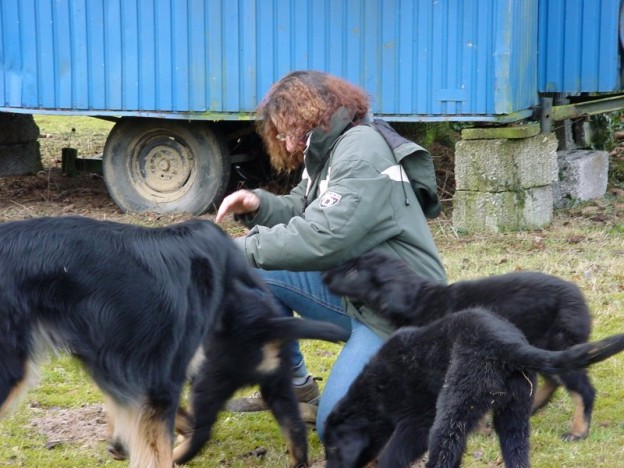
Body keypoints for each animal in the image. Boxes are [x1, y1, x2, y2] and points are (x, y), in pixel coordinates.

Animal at [322, 308, 624, 468]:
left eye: (334, 448)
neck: (372, 396)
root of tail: (506, 345)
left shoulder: (416, 422)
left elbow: (393, 455)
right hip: (514, 413)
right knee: (516, 453)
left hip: (453, 410)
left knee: (444, 453)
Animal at [324, 250, 596, 440]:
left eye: (353, 272)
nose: (324, 276)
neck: (419, 300)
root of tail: (579, 299)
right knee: (552, 380)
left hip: (558, 342)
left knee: (583, 390)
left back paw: (578, 431)